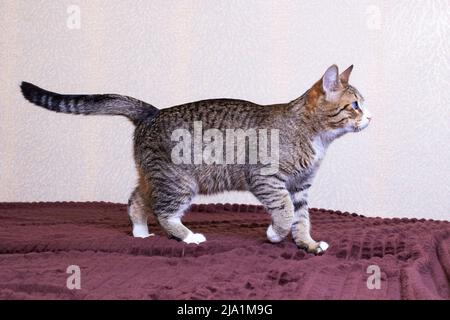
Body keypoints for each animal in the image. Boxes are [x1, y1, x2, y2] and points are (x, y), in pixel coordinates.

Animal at [21, 64, 370, 255]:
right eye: (354, 106)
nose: (370, 117)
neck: (314, 136)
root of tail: (152, 111)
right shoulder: (267, 179)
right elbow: (284, 213)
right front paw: (274, 234)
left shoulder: (300, 188)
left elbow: (302, 219)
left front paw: (307, 244)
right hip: (180, 182)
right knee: (163, 212)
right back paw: (188, 237)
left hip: (156, 177)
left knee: (136, 200)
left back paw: (141, 233)